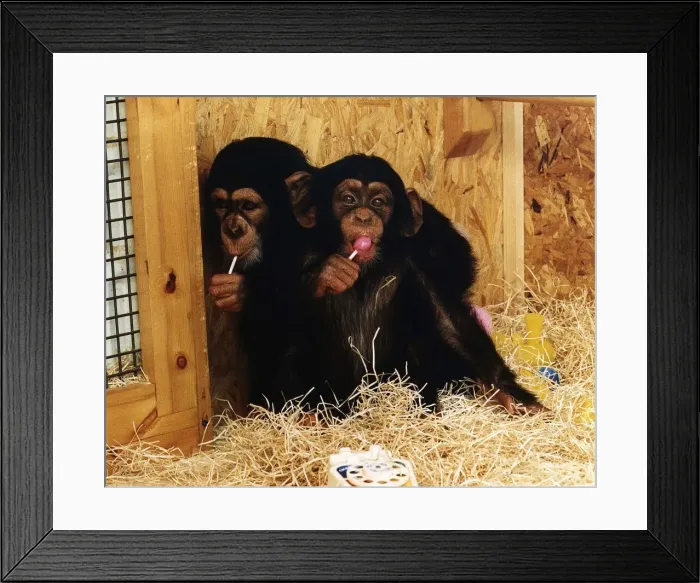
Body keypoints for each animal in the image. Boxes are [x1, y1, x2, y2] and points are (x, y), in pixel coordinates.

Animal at [284, 154, 543, 416]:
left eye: (378, 202)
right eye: (348, 199)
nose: (364, 216)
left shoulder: (417, 264)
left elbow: (448, 323)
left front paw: (511, 395)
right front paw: (328, 274)